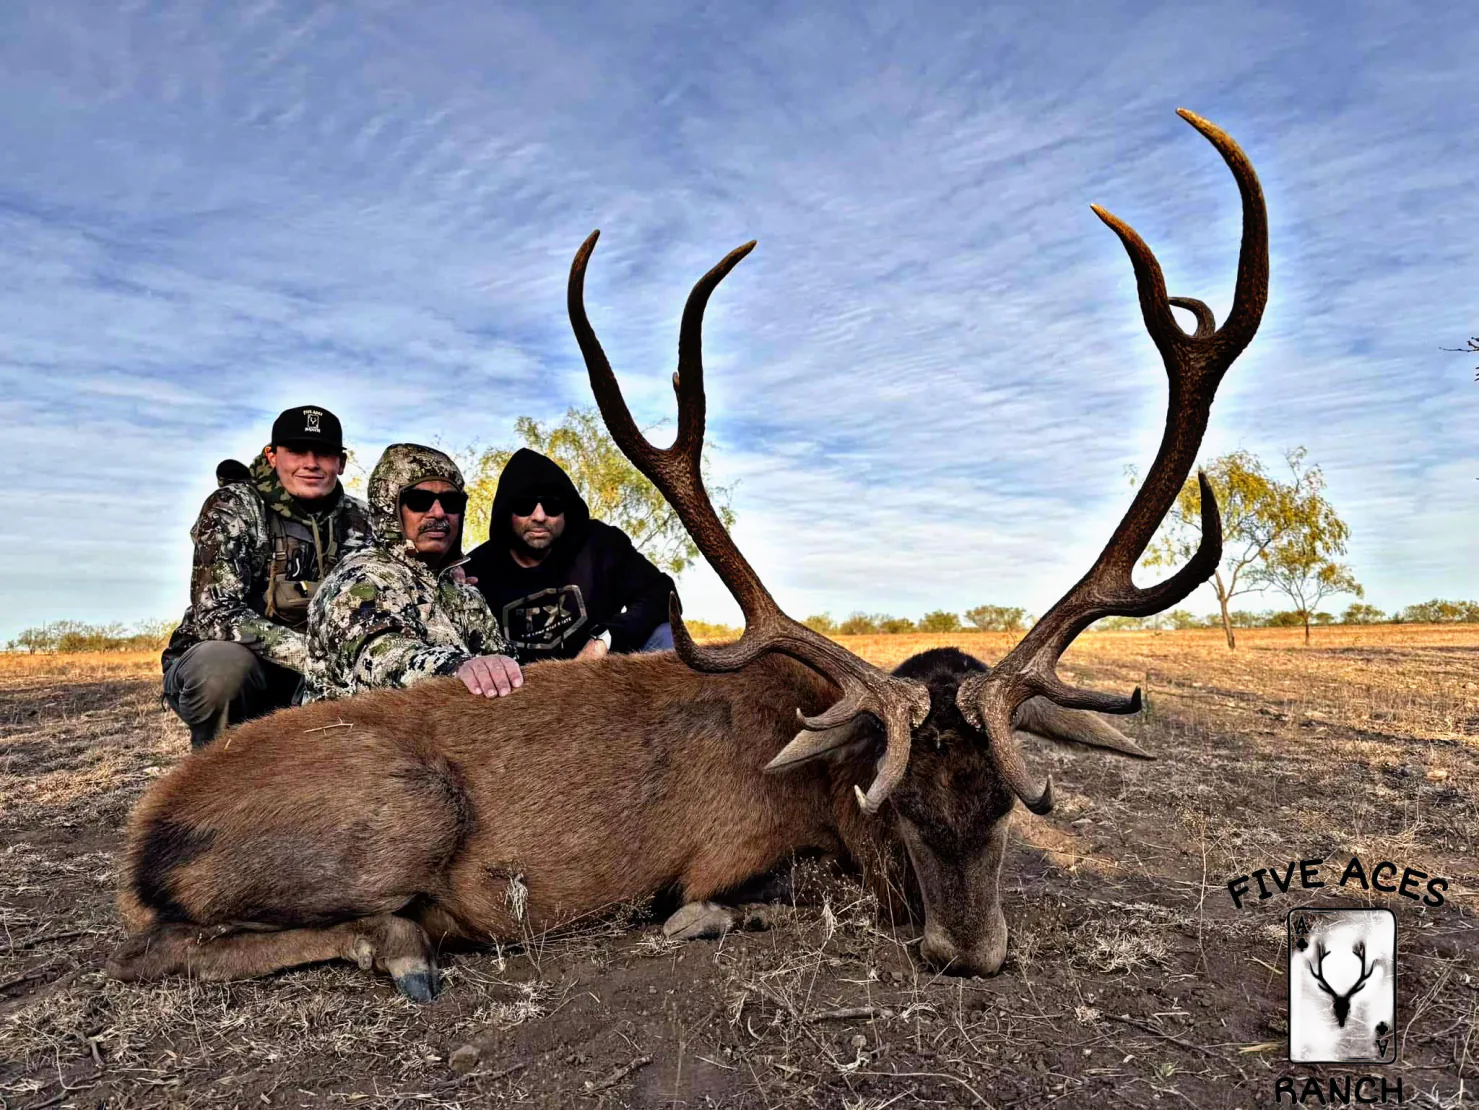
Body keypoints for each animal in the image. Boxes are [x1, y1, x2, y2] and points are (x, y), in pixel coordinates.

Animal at [104, 108, 1266, 1001]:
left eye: (1009, 807)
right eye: (897, 803)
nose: (969, 953)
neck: (813, 767)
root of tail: (148, 839)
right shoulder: (722, 855)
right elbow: (712, 908)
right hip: (408, 813)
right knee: (157, 948)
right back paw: (404, 945)